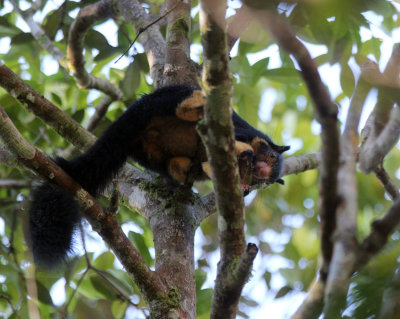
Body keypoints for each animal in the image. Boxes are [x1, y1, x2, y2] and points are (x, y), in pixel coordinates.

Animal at [28, 85, 290, 268]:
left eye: (265, 182)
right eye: (271, 156)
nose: (263, 171)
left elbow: (208, 167)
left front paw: (243, 184)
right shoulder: (239, 132)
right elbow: (239, 142)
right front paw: (246, 154)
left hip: (150, 153)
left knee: (175, 163)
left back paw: (184, 168)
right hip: (166, 101)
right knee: (183, 103)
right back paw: (198, 105)